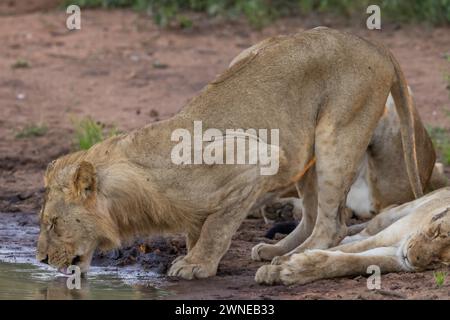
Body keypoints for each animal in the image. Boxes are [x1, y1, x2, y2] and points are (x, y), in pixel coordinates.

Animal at [37, 28, 422, 280]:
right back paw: (276, 251)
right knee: (315, 216)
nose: (40, 259)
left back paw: (292, 260)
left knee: (332, 224)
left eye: (52, 223)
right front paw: (197, 256)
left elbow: (217, 227)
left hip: (337, 134)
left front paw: (196, 265)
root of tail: (375, 44)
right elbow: (199, 227)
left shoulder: (257, 158)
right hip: (306, 153)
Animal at [255, 186, 450, 286]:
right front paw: (281, 263)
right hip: (393, 214)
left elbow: (351, 262)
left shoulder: (396, 258)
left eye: (439, 260)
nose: (412, 258)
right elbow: (351, 247)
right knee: (361, 232)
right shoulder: (385, 237)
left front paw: (294, 270)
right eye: (436, 231)